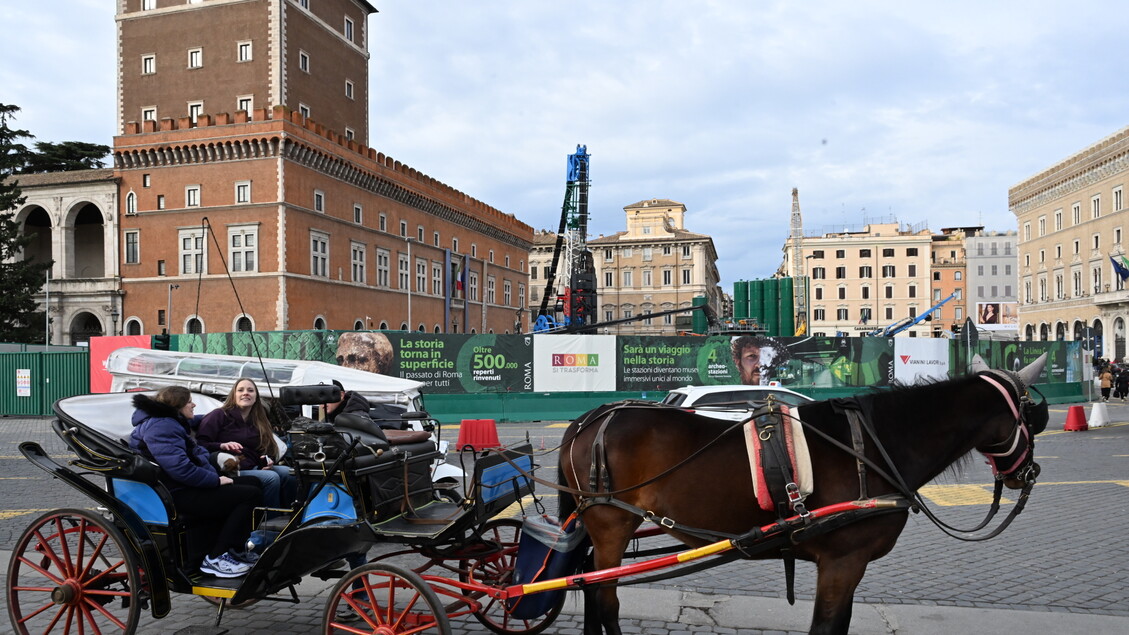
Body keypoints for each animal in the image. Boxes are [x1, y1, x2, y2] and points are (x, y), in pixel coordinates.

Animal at [559, 357, 1043, 632]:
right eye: (1033, 417)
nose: (1029, 473)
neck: (874, 444)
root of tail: (590, 418)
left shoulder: (846, 565)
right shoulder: (843, 561)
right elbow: (825, 627)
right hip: (611, 523)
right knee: (604, 600)